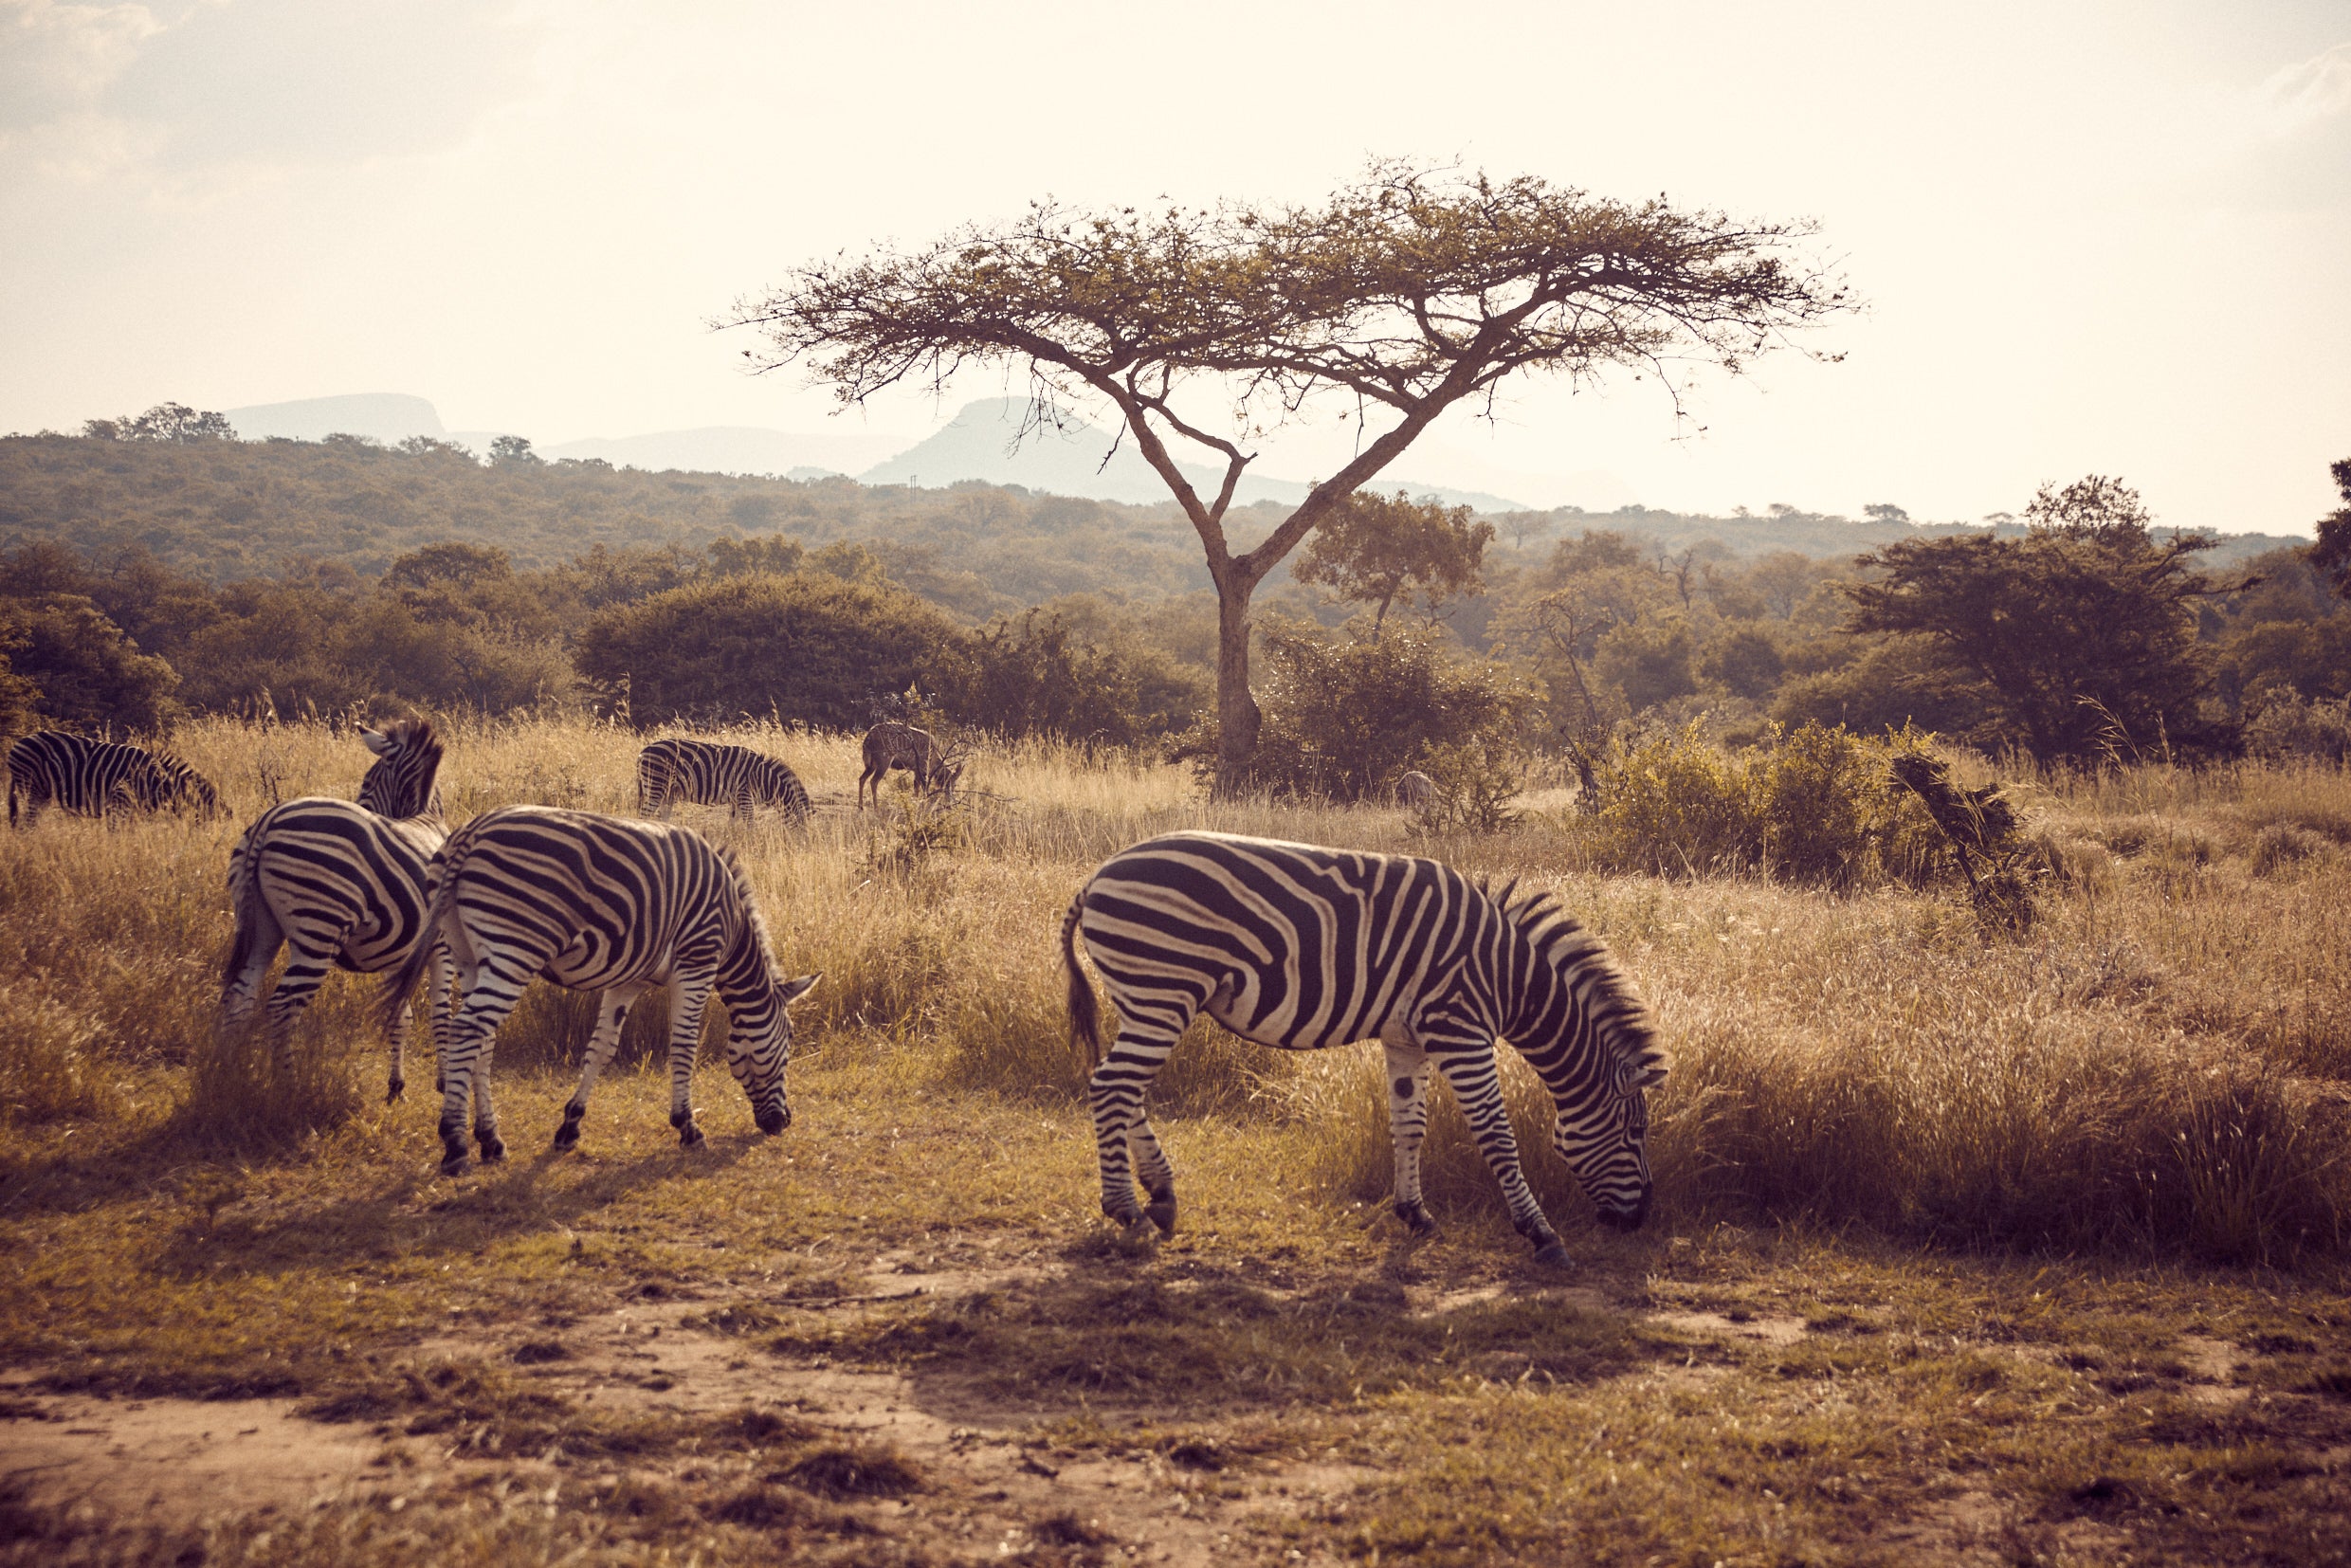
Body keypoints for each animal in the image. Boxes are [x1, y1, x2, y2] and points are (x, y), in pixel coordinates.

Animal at [7, 728, 222, 827]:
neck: (156, 782)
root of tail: (18, 743)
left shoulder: (132, 813)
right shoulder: (119, 806)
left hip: (42, 793)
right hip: (32, 788)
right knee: (27, 824)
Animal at [224, 719, 453, 1100]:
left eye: (367, 783)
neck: (424, 816)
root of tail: (268, 820)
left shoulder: (400, 951)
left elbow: (400, 1015)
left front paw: (396, 1085)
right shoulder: (443, 946)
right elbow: (441, 1016)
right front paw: (446, 1084)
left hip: (261, 925)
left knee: (239, 996)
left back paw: (219, 1074)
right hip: (319, 930)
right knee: (282, 1007)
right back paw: (287, 1088)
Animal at [380, 809, 823, 1175]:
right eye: (790, 1042)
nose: (782, 1124)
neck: (731, 930)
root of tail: (470, 833)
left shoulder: (629, 979)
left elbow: (601, 1047)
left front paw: (570, 1126)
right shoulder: (696, 963)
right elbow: (683, 1047)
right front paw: (688, 1126)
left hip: (469, 954)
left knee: (481, 1041)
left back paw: (491, 1141)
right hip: (515, 949)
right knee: (468, 1030)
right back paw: (455, 1144)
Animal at [639, 738, 813, 827]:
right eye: (802, 826)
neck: (764, 779)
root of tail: (643, 751)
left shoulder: (737, 799)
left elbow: (732, 823)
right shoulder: (744, 795)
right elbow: (750, 823)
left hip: (668, 793)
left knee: (662, 817)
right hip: (656, 786)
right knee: (643, 815)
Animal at [1066, 831, 1673, 1260]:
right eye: (1636, 1132)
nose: (1640, 1218)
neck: (1509, 978)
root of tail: (1097, 877)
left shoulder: (1409, 1037)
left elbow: (1411, 1125)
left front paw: (1415, 1215)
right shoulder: (1461, 1030)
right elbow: (1498, 1136)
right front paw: (1541, 1233)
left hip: (1145, 999)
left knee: (1125, 1089)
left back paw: (1161, 1195)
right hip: (1163, 989)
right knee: (1112, 1087)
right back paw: (1127, 1209)